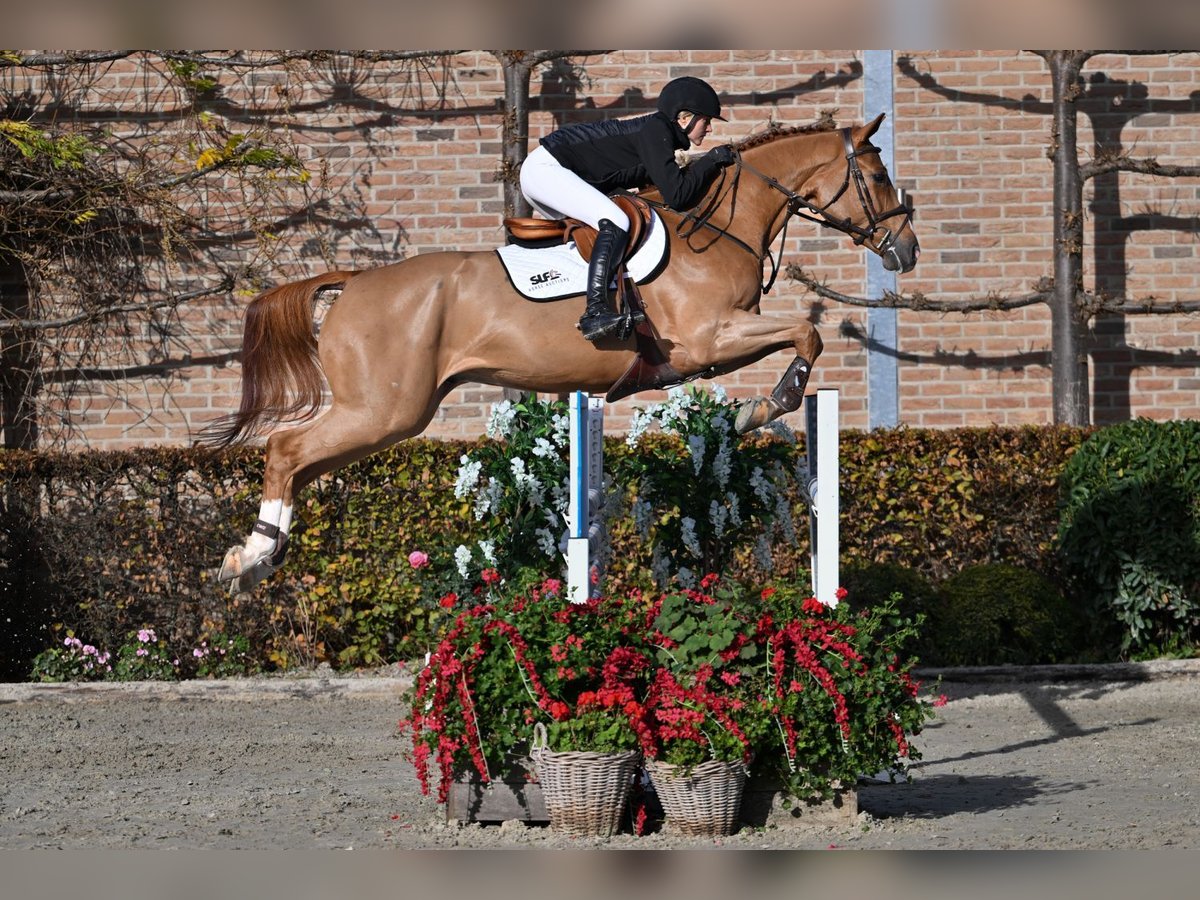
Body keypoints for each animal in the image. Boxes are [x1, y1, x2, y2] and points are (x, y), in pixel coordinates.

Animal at [203, 112, 920, 593]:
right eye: (878, 175)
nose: (907, 250)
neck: (720, 227)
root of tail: (352, 281)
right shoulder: (707, 340)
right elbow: (807, 334)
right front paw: (758, 411)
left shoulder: (715, 344)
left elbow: (802, 335)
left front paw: (755, 411)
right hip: (384, 409)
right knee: (286, 451)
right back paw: (248, 559)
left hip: (387, 414)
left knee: (301, 465)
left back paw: (259, 555)